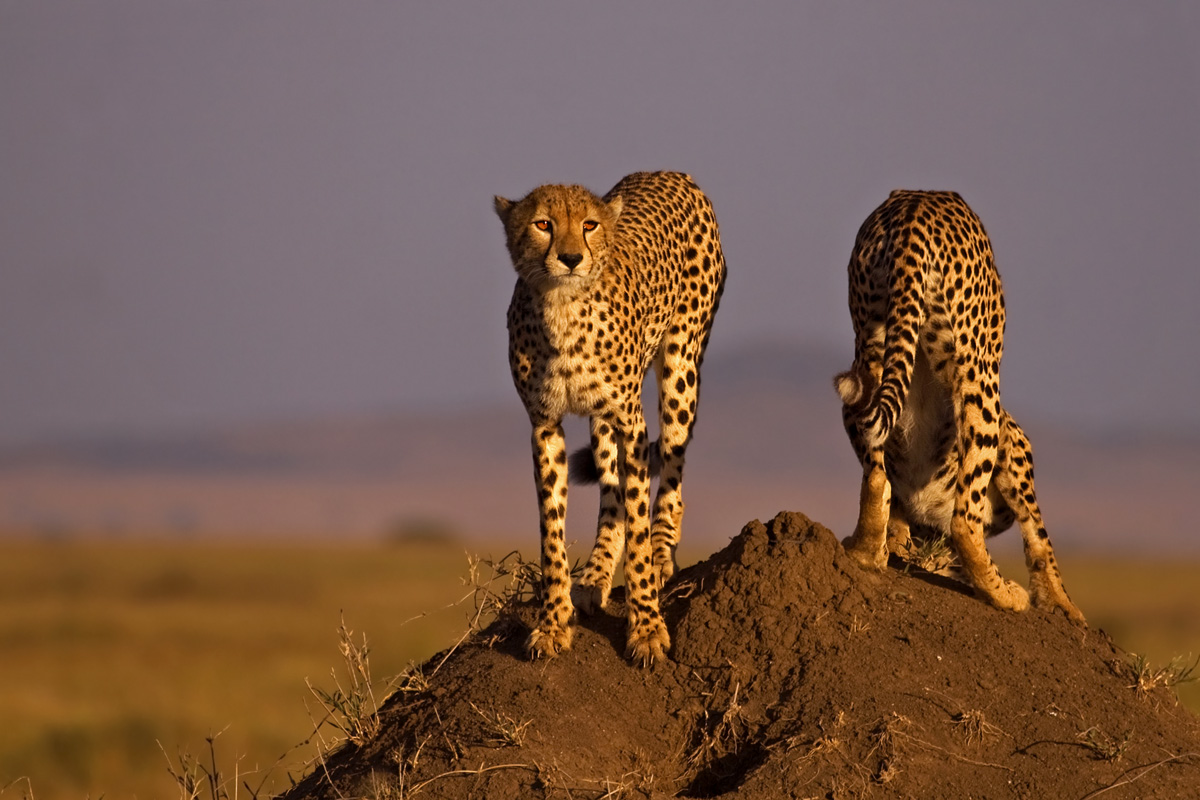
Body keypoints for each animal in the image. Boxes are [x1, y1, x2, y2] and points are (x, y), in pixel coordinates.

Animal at [494, 171, 727, 665]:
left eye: (589, 225)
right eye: (543, 223)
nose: (570, 258)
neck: (562, 308)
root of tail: (670, 172)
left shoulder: (631, 422)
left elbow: (637, 521)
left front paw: (647, 628)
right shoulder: (545, 425)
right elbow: (552, 533)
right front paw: (553, 624)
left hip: (680, 367)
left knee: (671, 467)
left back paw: (662, 551)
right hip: (602, 420)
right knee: (609, 489)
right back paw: (597, 574)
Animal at [833, 189, 1085, 625]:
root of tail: (914, 208)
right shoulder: (1013, 435)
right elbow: (1039, 537)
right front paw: (1062, 604)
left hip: (866, 356)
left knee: (877, 475)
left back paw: (866, 551)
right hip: (982, 388)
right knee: (965, 521)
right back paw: (1005, 594)